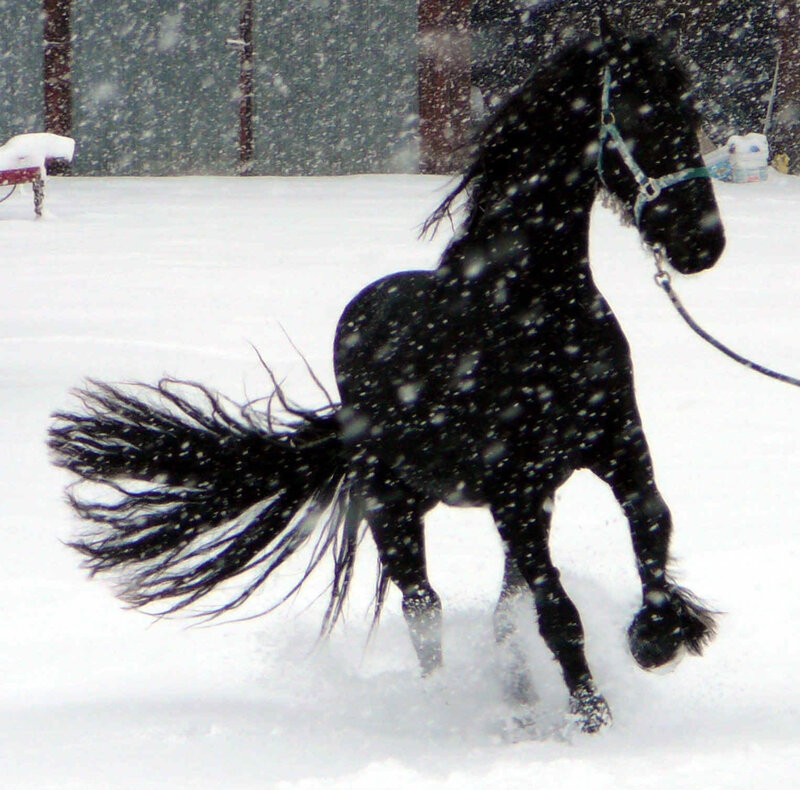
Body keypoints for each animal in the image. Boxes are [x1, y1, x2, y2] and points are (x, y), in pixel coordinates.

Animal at [49, 25, 725, 735]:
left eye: (690, 115)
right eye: (641, 118)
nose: (702, 244)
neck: (529, 313)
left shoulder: (615, 451)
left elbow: (651, 522)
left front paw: (658, 637)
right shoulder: (513, 489)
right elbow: (557, 612)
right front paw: (594, 720)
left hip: (517, 503)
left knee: (499, 610)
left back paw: (517, 707)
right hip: (393, 506)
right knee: (423, 608)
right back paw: (442, 706)